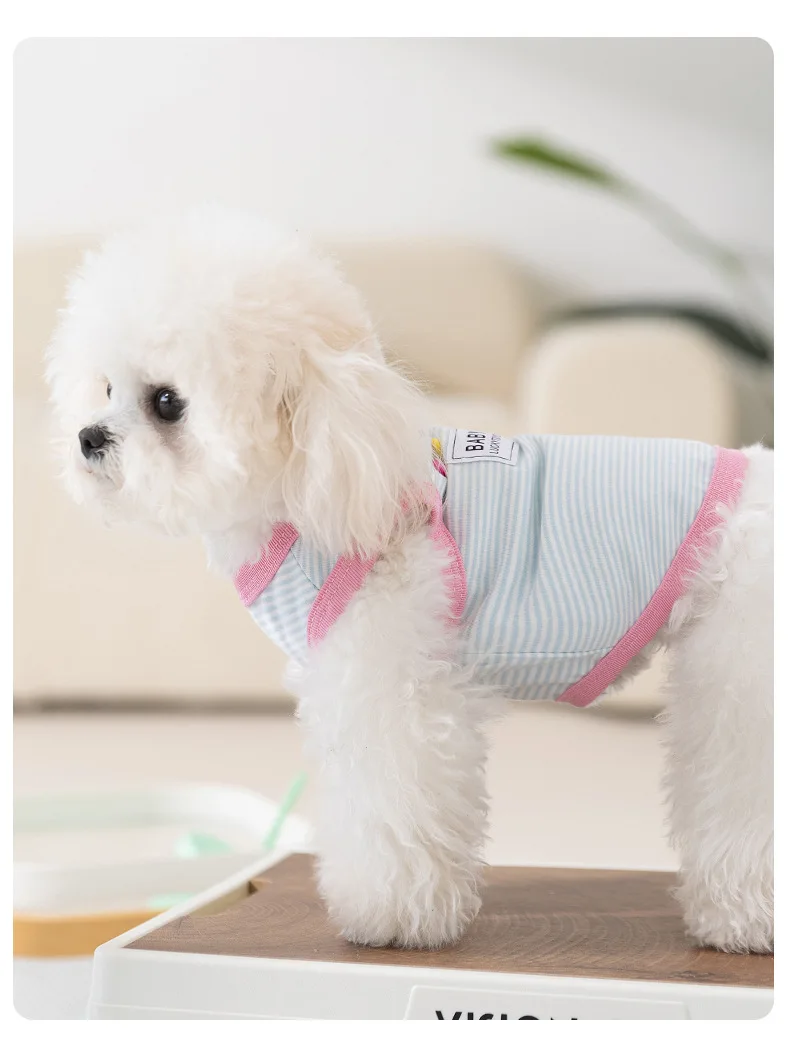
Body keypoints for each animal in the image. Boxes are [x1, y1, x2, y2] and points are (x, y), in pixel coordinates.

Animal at [46, 206, 773, 954]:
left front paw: (390, 916)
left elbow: (391, 804)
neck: (323, 475)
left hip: (743, 668)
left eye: (167, 402)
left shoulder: (392, 683)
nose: (87, 437)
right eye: (106, 388)